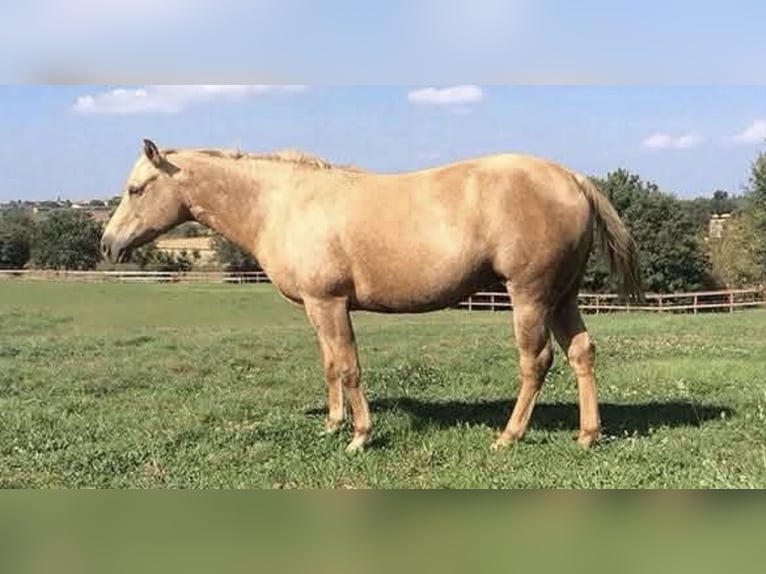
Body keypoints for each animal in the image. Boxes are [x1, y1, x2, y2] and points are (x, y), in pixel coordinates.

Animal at [101, 139, 643, 453]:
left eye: (136, 189)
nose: (108, 244)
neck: (283, 203)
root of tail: (570, 177)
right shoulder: (317, 307)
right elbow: (329, 366)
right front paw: (332, 425)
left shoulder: (330, 303)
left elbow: (348, 367)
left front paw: (359, 437)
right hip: (561, 296)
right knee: (581, 353)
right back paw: (587, 435)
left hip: (529, 296)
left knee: (536, 361)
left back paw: (508, 436)